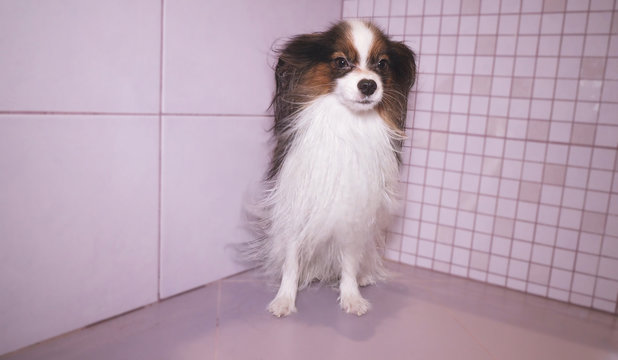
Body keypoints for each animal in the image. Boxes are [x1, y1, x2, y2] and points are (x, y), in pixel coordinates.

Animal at [245, 20, 414, 318]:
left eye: (382, 64)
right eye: (341, 61)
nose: (368, 85)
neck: (348, 122)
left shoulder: (352, 212)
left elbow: (349, 262)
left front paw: (351, 297)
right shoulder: (296, 206)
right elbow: (291, 261)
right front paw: (284, 299)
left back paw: (364, 276)